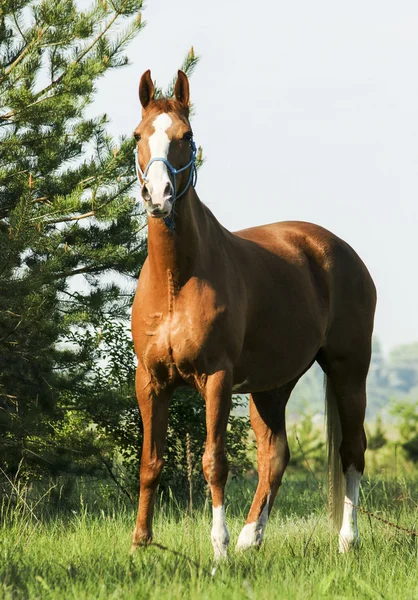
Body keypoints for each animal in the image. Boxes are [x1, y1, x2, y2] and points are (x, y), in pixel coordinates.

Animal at [130, 71, 376, 564]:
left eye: (186, 136)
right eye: (138, 136)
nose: (158, 197)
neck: (176, 281)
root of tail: (339, 250)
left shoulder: (217, 378)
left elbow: (214, 462)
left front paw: (219, 551)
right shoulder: (149, 379)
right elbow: (151, 462)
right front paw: (140, 544)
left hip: (349, 370)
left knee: (352, 450)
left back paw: (347, 540)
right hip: (271, 386)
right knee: (275, 455)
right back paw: (251, 537)